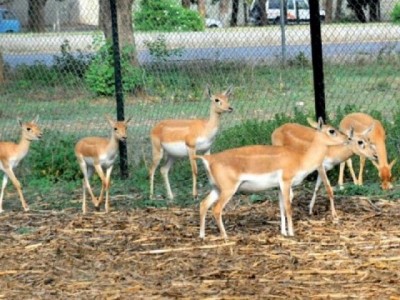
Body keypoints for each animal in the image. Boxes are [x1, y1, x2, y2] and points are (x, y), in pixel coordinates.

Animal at [195, 118, 346, 239]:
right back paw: (225, 236)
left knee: (203, 204)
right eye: (332, 130)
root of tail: (209, 159)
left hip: (217, 189)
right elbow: (288, 207)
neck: (300, 158)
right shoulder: (286, 182)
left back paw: (202, 235)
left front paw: (284, 232)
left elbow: (281, 207)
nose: (347, 138)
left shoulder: (278, 187)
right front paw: (292, 233)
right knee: (216, 209)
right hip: (228, 190)